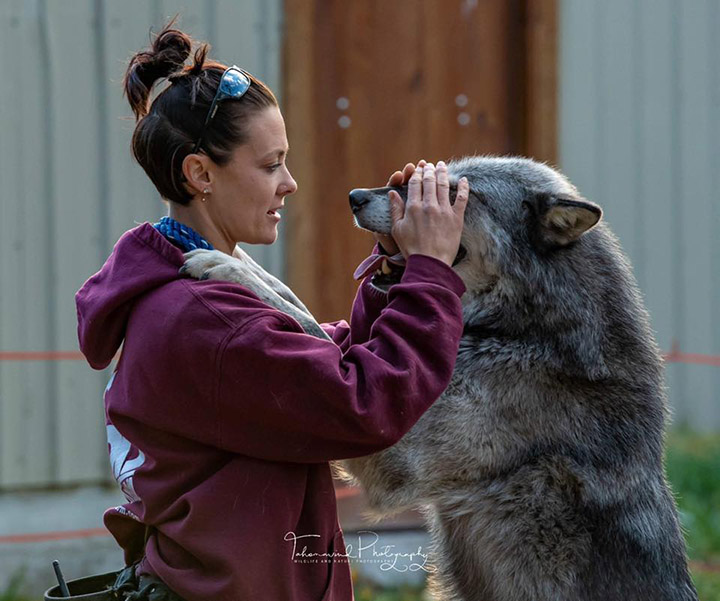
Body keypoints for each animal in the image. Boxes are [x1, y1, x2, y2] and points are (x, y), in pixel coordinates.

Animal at [182, 156, 698, 601]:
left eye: (452, 193)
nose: (354, 197)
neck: (529, 328)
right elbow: (298, 304)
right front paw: (237, 258)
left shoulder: (390, 450)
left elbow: (307, 324)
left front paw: (224, 265)